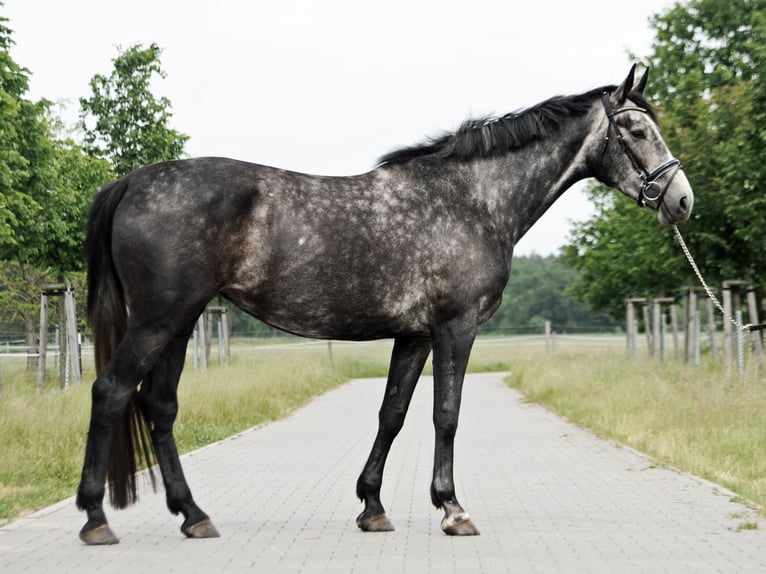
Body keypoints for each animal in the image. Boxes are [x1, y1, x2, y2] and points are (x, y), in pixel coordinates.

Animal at [76, 65, 693, 544]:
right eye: (636, 129)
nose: (682, 200)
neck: (472, 201)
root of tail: (130, 183)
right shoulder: (456, 327)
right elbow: (446, 413)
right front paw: (452, 509)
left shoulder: (415, 334)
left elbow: (392, 414)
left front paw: (372, 507)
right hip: (158, 321)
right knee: (111, 391)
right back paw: (96, 519)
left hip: (180, 323)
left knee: (158, 406)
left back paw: (194, 515)